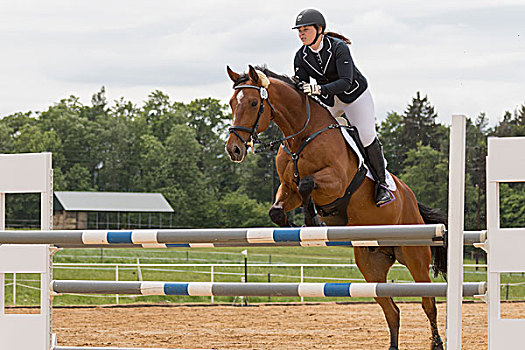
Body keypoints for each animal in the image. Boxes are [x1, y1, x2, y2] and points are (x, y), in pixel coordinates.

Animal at [224, 65, 446, 350]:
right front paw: (295, 224)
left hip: (414, 257)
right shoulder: (287, 189)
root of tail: (412, 201)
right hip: (371, 265)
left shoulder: (336, 181)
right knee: (392, 310)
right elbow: (279, 208)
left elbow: (307, 183)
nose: (234, 149)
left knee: (428, 303)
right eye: (232, 103)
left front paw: (314, 221)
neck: (301, 137)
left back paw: (437, 343)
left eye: (253, 103)